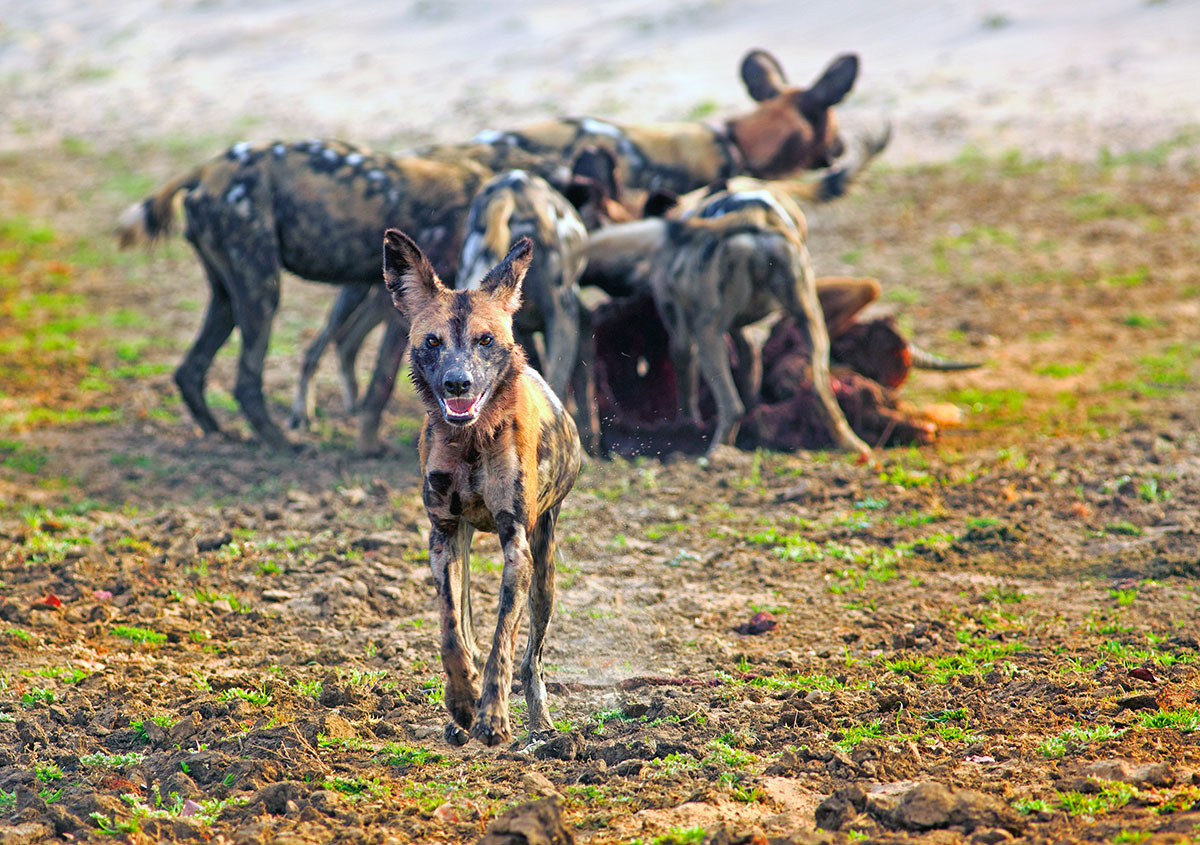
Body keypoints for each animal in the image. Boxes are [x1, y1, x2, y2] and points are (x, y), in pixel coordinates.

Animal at [117, 49, 878, 451]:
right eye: (829, 124)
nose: (842, 150)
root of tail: (206, 169)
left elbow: (382, 386)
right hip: (263, 291)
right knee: (248, 374)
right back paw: (281, 442)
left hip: (234, 292)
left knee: (195, 369)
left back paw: (224, 438)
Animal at [379, 225, 576, 744]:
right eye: (432, 341)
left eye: (485, 340)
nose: (457, 383)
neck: (471, 440)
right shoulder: (442, 536)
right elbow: (452, 631)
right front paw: (463, 701)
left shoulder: (517, 547)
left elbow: (501, 644)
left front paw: (492, 718)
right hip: (465, 546)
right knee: (466, 624)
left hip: (544, 574)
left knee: (533, 658)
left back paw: (540, 725)